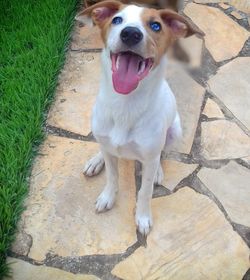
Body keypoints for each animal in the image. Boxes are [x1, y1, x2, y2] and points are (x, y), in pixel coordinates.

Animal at [77, 0, 202, 235]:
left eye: (155, 26)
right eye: (117, 20)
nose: (130, 34)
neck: (125, 104)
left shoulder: (150, 157)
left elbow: (145, 191)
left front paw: (143, 217)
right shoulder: (108, 147)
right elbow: (112, 177)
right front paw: (108, 197)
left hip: (174, 132)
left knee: (160, 155)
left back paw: (158, 171)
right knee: (104, 148)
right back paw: (96, 160)